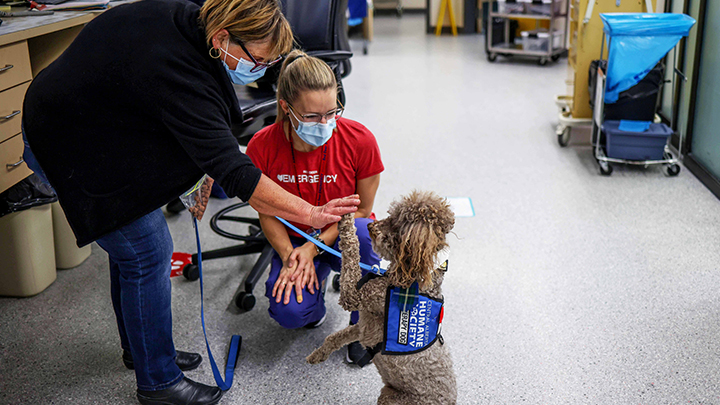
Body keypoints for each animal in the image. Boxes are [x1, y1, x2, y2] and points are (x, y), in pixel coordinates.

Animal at [306, 190, 456, 404]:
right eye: (391, 214)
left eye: (395, 223)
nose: (370, 225)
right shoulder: (363, 326)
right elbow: (333, 337)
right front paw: (318, 355)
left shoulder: (356, 296)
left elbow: (351, 250)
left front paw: (347, 218)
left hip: (392, 397)